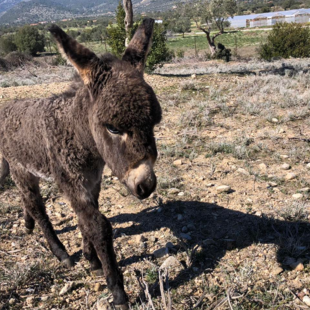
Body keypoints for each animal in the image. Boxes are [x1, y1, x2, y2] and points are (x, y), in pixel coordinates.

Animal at [0, 18, 161, 308]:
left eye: (154, 123)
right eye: (113, 128)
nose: (146, 186)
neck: (78, 134)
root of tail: (7, 107)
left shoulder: (92, 181)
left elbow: (86, 219)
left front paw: (92, 258)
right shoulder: (71, 182)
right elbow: (98, 226)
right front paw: (117, 291)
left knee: (25, 199)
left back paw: (28, 225)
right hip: (20, 168)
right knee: (36, 205)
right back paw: (60, 253)